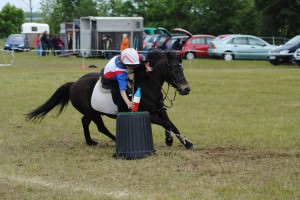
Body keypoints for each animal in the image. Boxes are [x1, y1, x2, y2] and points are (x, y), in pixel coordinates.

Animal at [26, 50, 195, 148]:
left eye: (181, 68)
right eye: (173, 69)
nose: (186, 89)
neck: (147, 84)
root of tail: (73, 84)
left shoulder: (160, 109)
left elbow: (171, 124)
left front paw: (181, 142)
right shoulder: (150, 114)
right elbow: (167, 124)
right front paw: (177, 141)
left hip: (92, 112)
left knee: (84, 121)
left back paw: (90, 142)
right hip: (93, 112)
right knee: (100, 127)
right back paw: (115, 139)